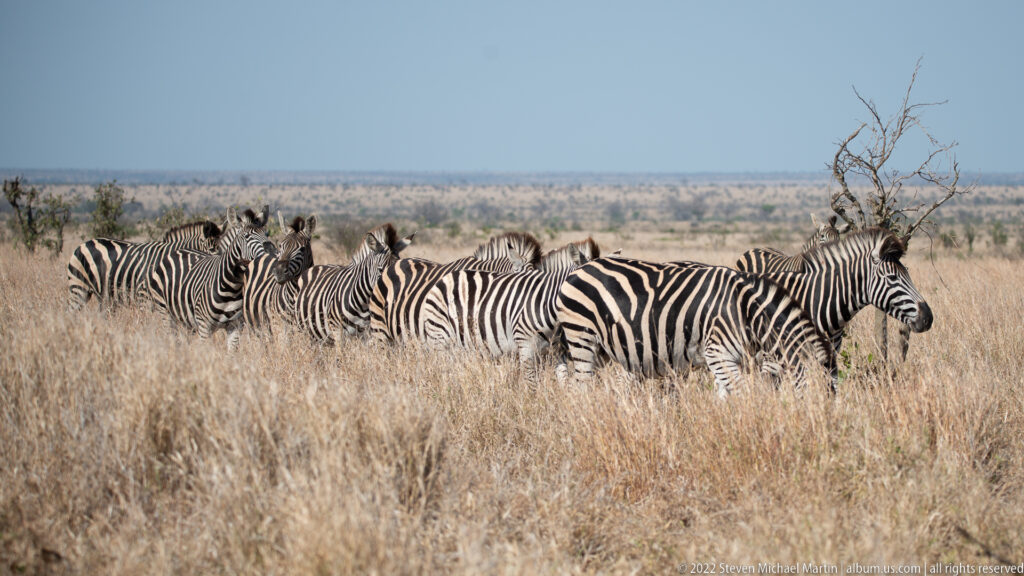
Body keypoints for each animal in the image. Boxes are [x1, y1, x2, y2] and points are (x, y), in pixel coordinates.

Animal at [149, 206, 276, 351]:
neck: (232, 287)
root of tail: (178, 251)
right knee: (171, 338)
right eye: (247, 236)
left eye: (266, 234)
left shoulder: (235, 326)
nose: (272, 251)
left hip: (184, 320)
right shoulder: (204, 326)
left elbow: (231, 353)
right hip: (165, 312)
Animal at [419, 238, 602, 384]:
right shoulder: (525, 346)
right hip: (440, 338)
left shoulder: (557, 350)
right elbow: (530, 381)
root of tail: (446, 278)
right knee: (442, 368)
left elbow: (563, 379)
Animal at [555, 256, 837, 397]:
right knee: (581, 388)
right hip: (581, 338)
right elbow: (744, 396)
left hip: (602, 348)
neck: (746, 311)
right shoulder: (719, 355)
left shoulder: (726, 361)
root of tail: (579, 268)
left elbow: (723, 399)